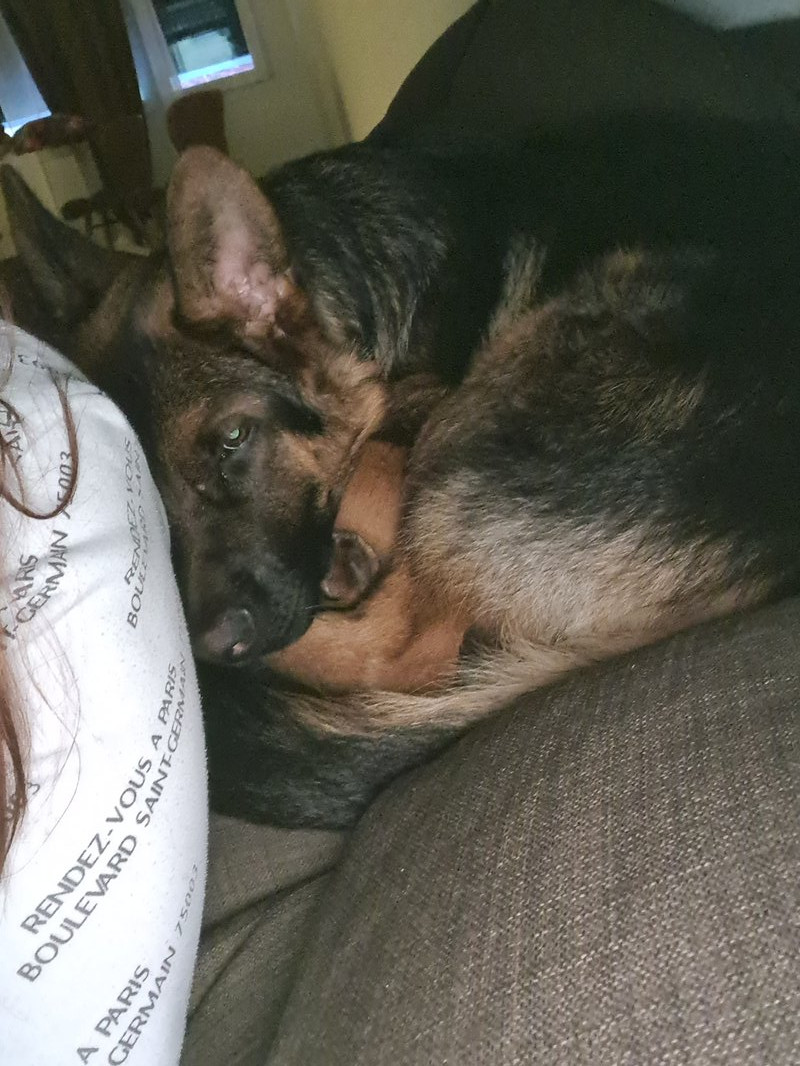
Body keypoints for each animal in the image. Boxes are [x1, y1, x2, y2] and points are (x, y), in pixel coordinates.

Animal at [4, 115, 800, 827]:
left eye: (232, 437)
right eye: (138, 488)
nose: (216, 648)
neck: (342, 281)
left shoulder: (414, 410)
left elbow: (375, 460)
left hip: (470, 434)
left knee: (411, 648)